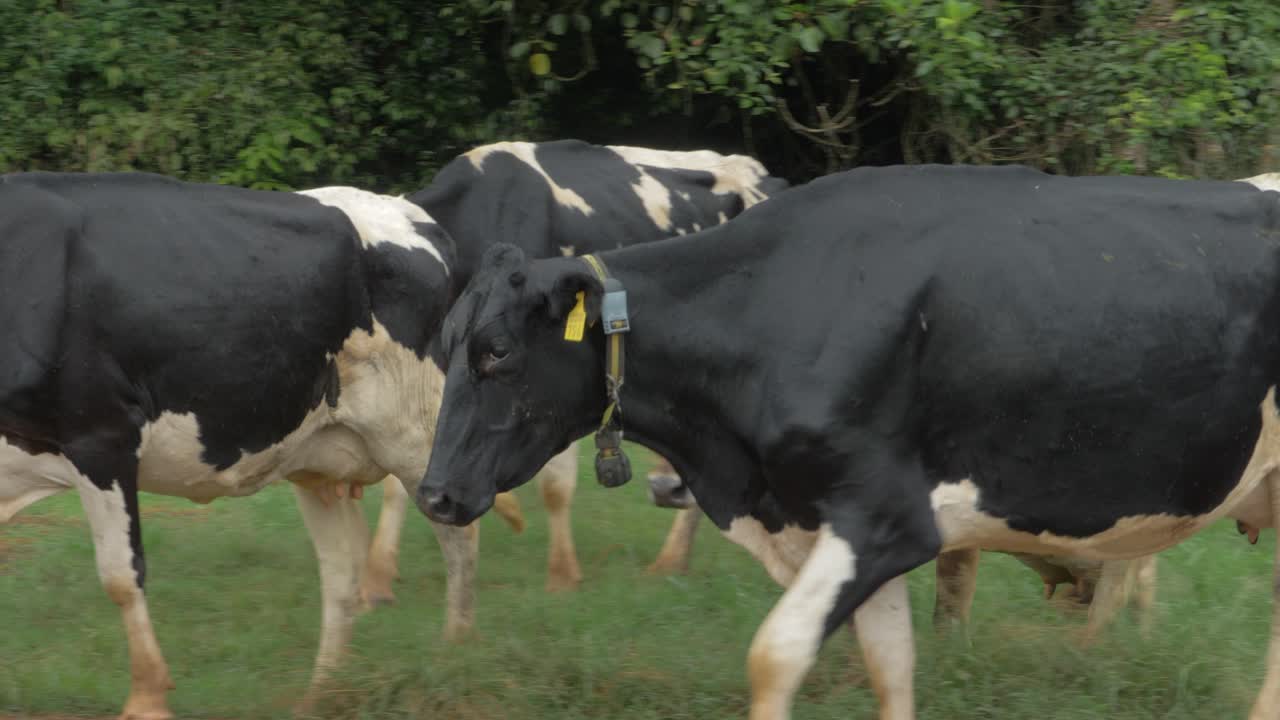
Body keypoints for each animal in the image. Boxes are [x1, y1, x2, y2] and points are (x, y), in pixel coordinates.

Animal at [0, 174, 466, 719]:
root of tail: (414, 213)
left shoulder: (102, 434)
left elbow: (121, 575)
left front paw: (147, 698)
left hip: (420, 433)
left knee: (457, 530)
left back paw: (456, 651)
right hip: (321, 453)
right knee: (341, 570)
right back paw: (323, 693)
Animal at [415, 163, 1280, 720]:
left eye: (497, 353)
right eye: (448, 343)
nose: (434, 494)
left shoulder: (887, 517)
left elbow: (774, 656)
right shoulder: (839, 521)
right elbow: (891, 668)